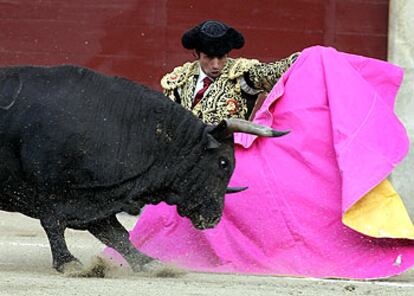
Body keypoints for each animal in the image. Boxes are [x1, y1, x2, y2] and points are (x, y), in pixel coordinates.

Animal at [0, 66, 286, 272]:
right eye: (224, 162)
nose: (214, 218)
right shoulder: (51, 190)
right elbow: (54, 223)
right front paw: (68, 263)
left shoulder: (96, 198)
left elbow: (116, 235)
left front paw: (149, 262)